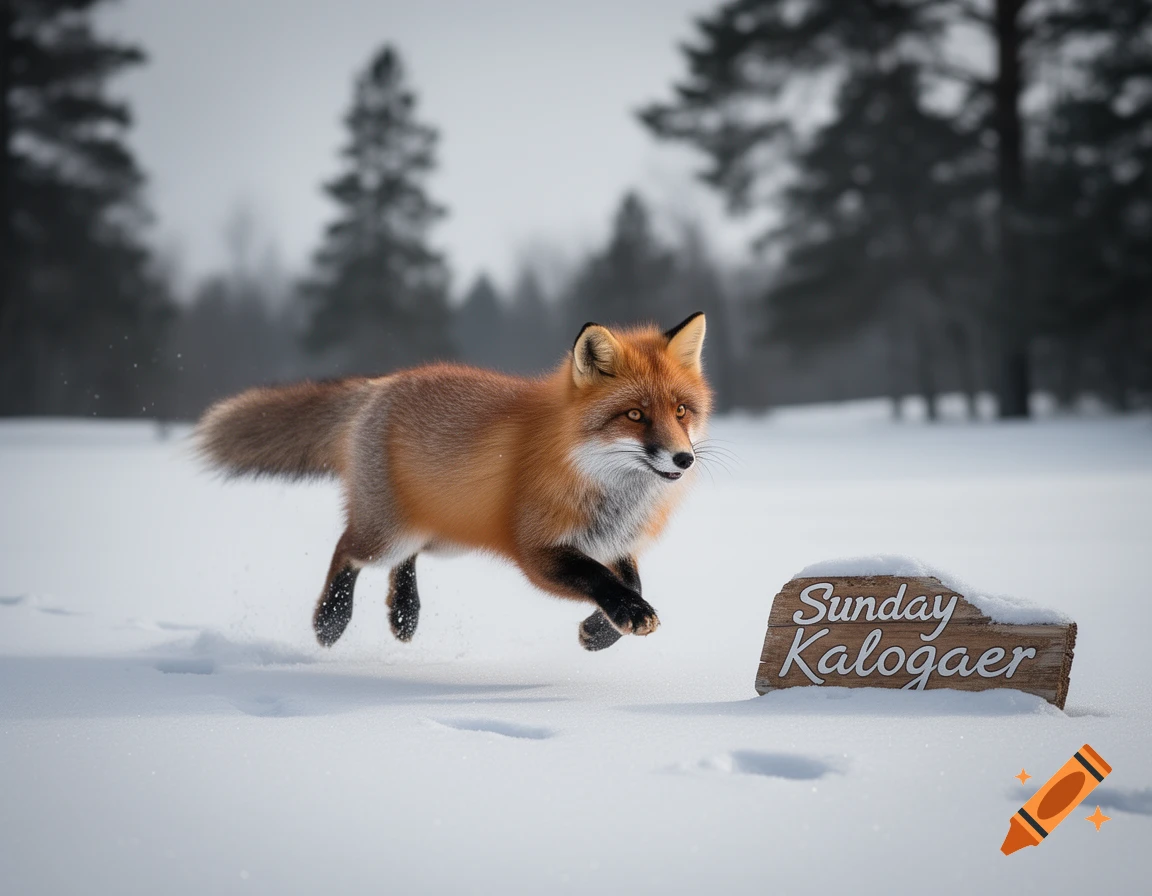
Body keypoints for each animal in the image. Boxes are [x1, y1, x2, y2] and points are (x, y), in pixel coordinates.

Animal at [196, 312, 711, 651]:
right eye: (635, 415)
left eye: (681, 411)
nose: (683, 459)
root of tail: (381, 384)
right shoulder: (537, 550)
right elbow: (599, 578)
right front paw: (625, 615)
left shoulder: (613, 541)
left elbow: (633, 580)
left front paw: (600, 631)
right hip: (388, 533)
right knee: (347, 547)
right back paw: (331, 620)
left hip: (447, 533)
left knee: (406, 560)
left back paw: (404, 612)